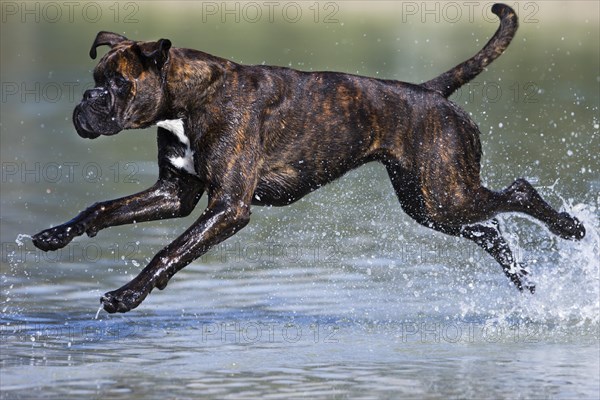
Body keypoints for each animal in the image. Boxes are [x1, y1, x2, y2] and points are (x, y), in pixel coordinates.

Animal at [32, 4, 584, 314]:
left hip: (445, 194)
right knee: (491, 228)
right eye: (96, 78)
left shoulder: (228, 208)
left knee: (518, 193)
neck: (191, 98)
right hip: (431, 205)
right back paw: (524, 280)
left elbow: (168, 252)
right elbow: (102, 209)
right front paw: (57, 235)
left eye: (118, 83)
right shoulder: (174, 195)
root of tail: (430, 92)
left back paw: (569, 227)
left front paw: (127, 296)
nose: (86, 100)